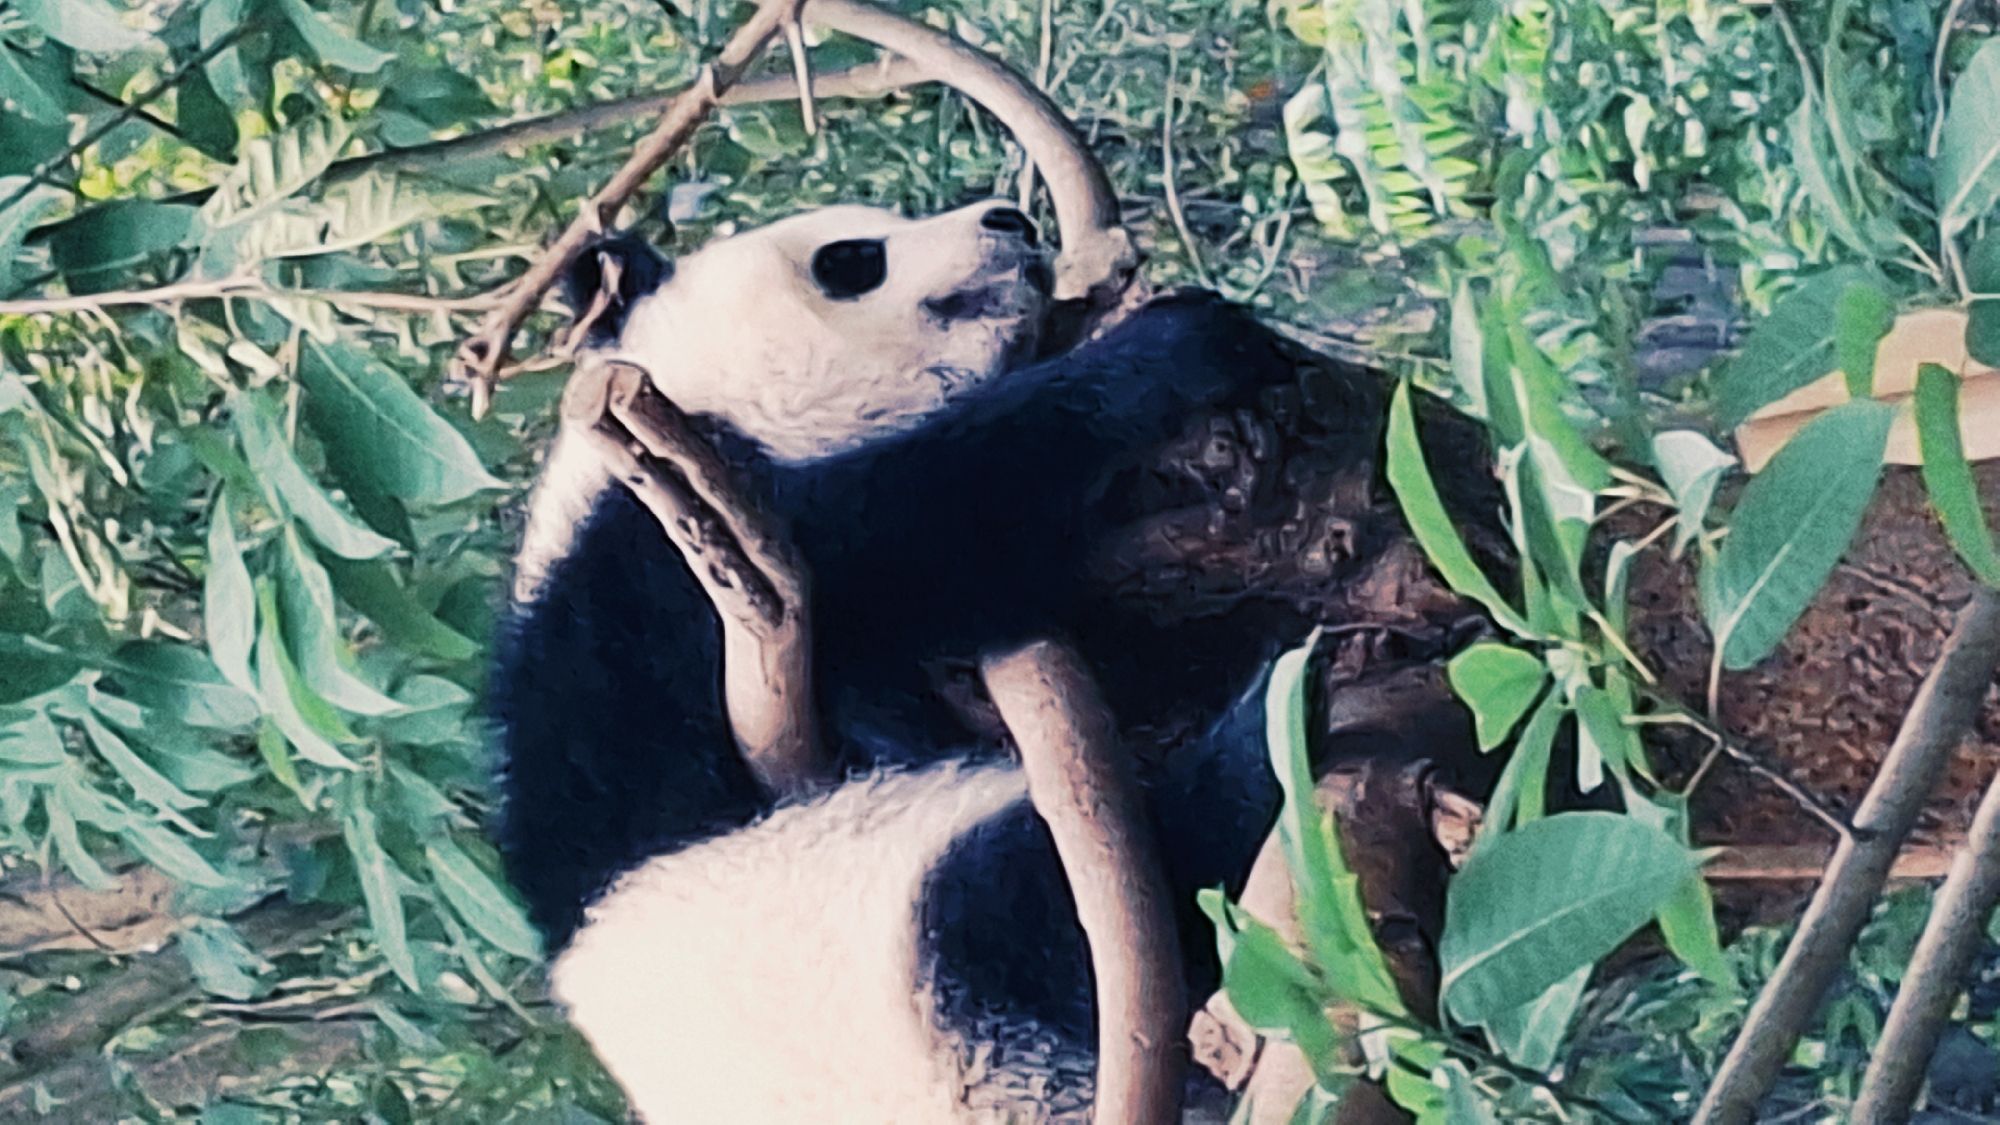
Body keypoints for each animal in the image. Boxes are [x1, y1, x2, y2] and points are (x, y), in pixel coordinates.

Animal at [488, 196, 1400, 1122]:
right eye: (850, 259)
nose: (1011, 218)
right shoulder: (666, 573)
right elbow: (920, 529)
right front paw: (1177, 343)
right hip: (895, 953)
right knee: (1059, 896)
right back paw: (1278, 717)